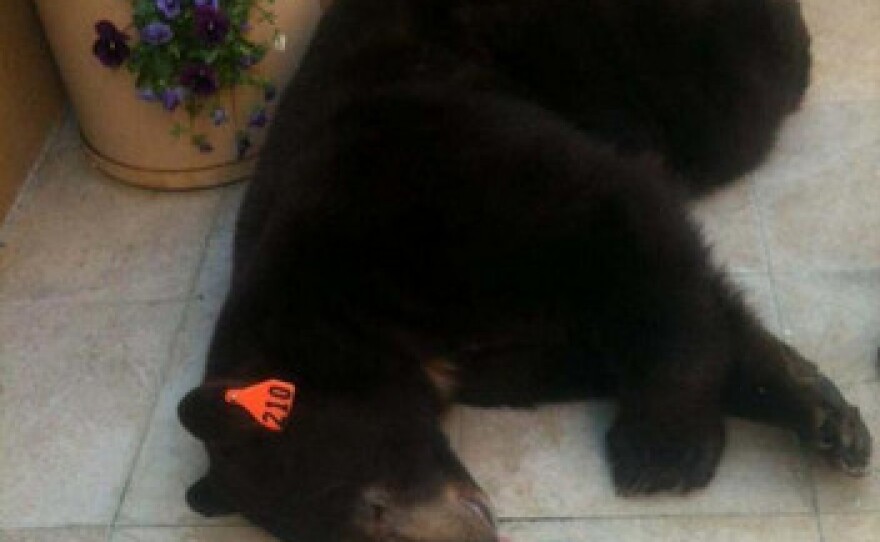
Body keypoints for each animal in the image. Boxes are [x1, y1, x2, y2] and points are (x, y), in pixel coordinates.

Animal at [178, 1, 873, 541]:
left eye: (370, 506)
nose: (475, 534)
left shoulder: (414, 169)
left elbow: (621, 220)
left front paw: (663, 447)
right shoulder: (480, 352)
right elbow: (592, 336)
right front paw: (819, 410)